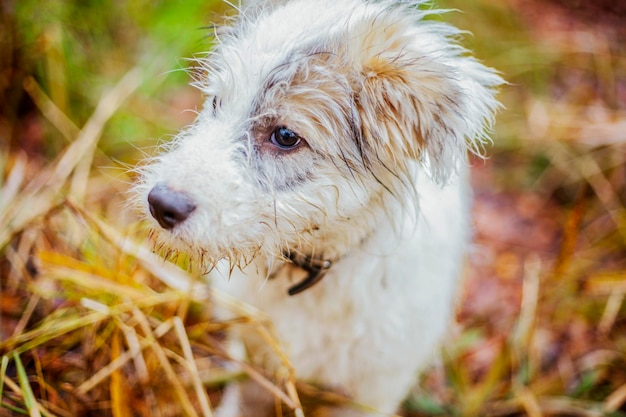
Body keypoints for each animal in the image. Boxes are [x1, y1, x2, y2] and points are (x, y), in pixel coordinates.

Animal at [135, 0, 502, 414]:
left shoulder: (374, 389)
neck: (310, 272)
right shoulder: (254, 348)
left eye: (285, 136)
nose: (160, 204)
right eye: (216, 103)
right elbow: (247, 395)